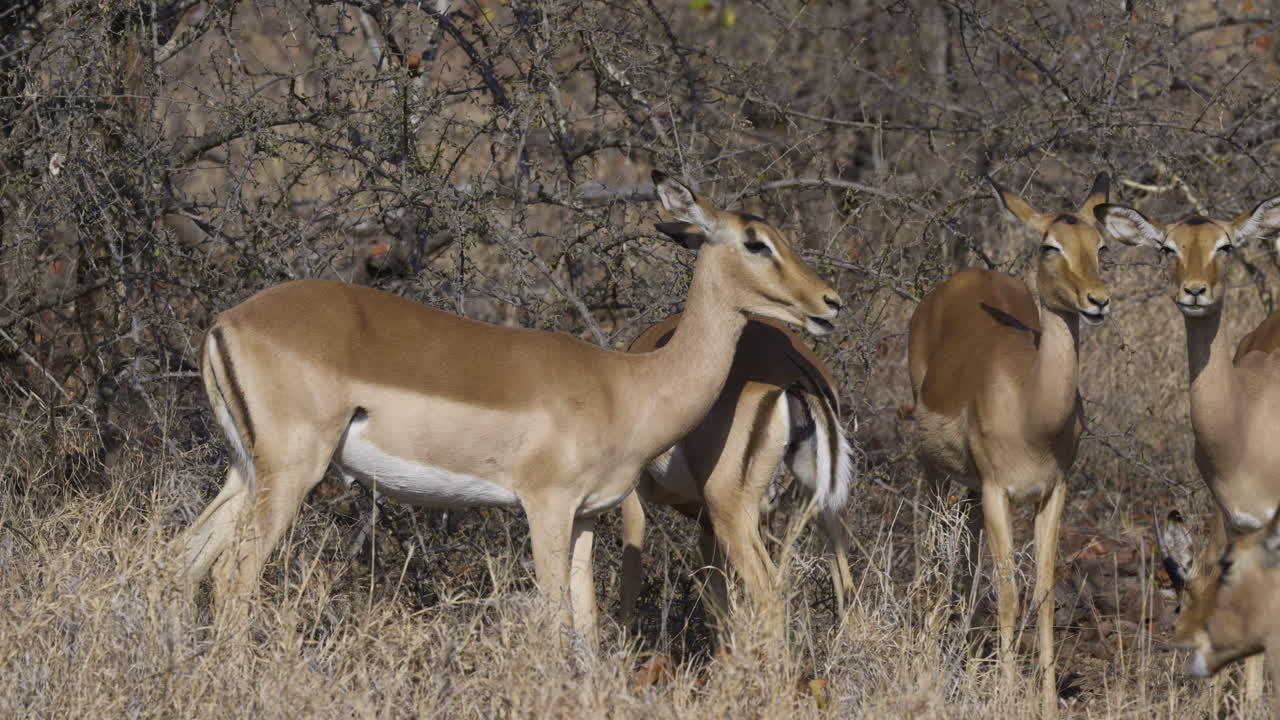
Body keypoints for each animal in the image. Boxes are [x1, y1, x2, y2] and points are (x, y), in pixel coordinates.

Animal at [617, 308, 854, 636]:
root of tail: (794, 370)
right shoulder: (708, 526)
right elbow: (719, 600)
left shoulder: (634, 497)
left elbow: (630, 578)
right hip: (820, 507)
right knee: (848, 590)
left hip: (734, 513)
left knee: (768, 591)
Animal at [907, 172, 1113, 716]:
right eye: (1050, 245)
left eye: (1101, 245)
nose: (1098, 299)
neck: (1030, 409)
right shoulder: (999, 491)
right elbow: (1008, 595)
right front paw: (1002, 695)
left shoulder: (1052, 492)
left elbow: (1042, 594)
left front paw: (1045, 701)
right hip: (935, 472)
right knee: (935, 553)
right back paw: (926, 666)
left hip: (971, 491)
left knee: (966, 564)